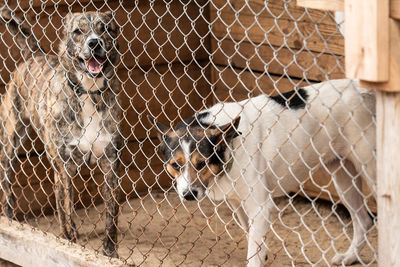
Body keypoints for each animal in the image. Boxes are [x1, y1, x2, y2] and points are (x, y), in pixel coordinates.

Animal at [0, 9, 122, 258]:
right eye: (78, 31)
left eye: (105, 29)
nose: (94, 42)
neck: (88, 93)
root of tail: (34, 55)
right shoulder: (63, 167)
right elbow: (65, 213)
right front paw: (70, 245)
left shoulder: (110, 165)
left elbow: (111, 216)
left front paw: (110, 252)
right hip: (11, 142)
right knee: (6, 180)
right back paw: (9, 217)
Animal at [149, 80, 376, 267]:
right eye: (175, 165)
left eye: (202, 163)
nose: (188, 195)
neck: (232, 145)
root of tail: (361, 89)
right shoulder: (238, 203)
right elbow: (251, 237)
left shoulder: (260, 207)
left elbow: (254, 253)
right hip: (343, 177)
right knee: (363, 221)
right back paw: (350, 257)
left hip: (370, 171)